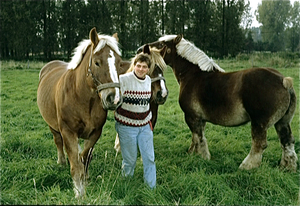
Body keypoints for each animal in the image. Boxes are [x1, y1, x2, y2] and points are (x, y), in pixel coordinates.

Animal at [37, 27, 123, 198]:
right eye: (97, 62)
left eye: (118, 63)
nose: (114, 98)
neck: (81, 97)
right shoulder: (68, 132)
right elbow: (76, 163)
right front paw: (79, 192)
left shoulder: (95, 133)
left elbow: (84, 157)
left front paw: (85, 179)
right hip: (53, 126)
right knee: (58, 142)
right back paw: (61, 162)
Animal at [142, 34, 298, 172]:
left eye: (162, 44)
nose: (142, 49)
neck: (193, 75)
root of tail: (284, 80)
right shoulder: (199, 119)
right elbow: (196, 137)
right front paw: (193, 153)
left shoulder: (192, 117)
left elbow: (198, 138)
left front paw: (203, 157)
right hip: (282, 122)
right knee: (287, 142)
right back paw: (287, 167)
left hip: (259, 123)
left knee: (260, 144)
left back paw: (246, 166)